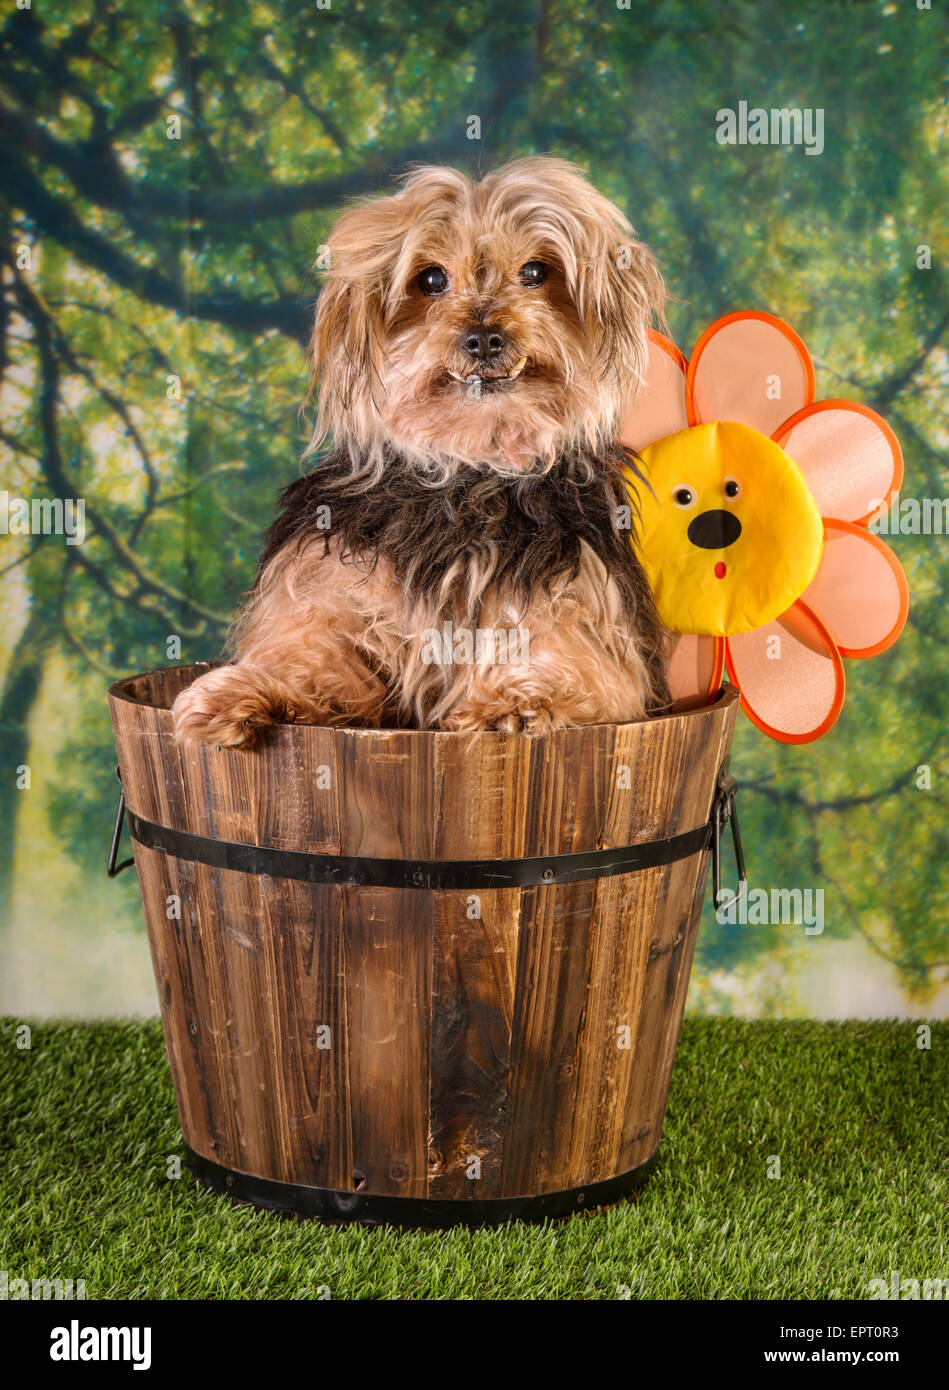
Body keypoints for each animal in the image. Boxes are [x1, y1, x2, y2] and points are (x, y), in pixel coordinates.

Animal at [172, 154, 675, 750]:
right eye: (431, 279)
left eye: (535, 272)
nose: (484, 337)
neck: (470, 472)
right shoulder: (334, 600)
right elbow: (311, 660)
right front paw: (240, 691)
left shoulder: (579, 603)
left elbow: (570, 662)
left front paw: (519, 700)